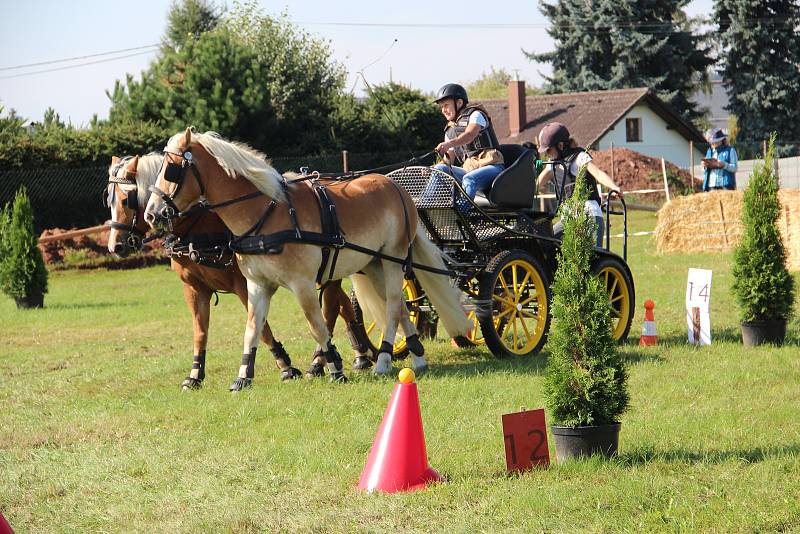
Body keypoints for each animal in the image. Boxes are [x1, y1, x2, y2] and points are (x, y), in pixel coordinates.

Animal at [106, 153, 376, 392]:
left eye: (126, 200)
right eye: (108, 201)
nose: (115, 246)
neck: (201, 226)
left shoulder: (244, 284)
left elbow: (262, 328)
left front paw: (285, 366)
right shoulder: (195, 288)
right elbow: (200, 332)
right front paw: (194, 375)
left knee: (330, 311)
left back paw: (325, 361)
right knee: (342, 306)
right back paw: (359, 355)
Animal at [145, 129, 468, 382]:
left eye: (171, 169)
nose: (152, 213)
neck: (265, 213)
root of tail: (398, 188)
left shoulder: (302, 284)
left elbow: (317, 325)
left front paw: (334, 369)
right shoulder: (256, 285)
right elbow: (252, 328)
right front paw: (243, 377)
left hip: (393, 259)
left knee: (390, 308)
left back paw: (384, 360)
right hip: (374, 263)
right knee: (401, 305)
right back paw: (417, 357)